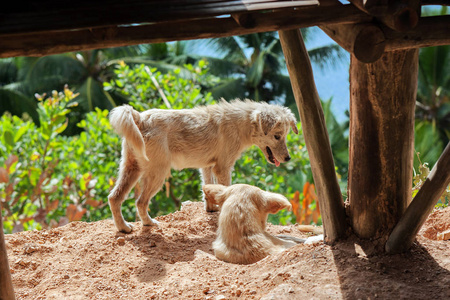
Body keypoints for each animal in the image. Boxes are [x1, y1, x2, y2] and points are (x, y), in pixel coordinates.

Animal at [108, 99, 298, 233]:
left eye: (285, 135)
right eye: (277, 136)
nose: (288, 158)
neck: (241, 124)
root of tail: (140, 117)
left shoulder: (207, 166)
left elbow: (208, 188)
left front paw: (211, 209)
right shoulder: (223, 167)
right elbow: (226, 190)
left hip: (131, 168)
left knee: (114, 197)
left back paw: (123, 228)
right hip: (158, 173)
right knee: (140, 202)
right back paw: (148, 223)